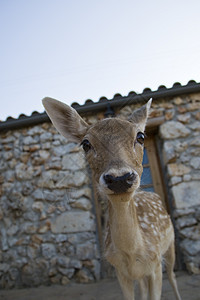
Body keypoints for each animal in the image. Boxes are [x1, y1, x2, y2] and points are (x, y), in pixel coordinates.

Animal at [41, 98, 181, 300]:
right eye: (85, 144)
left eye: (141, 136)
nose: (119, 178)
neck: (132, 254)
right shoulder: (120, 271)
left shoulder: (155, 264)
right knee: (144, 288)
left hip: (170, 245)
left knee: (172, 276)